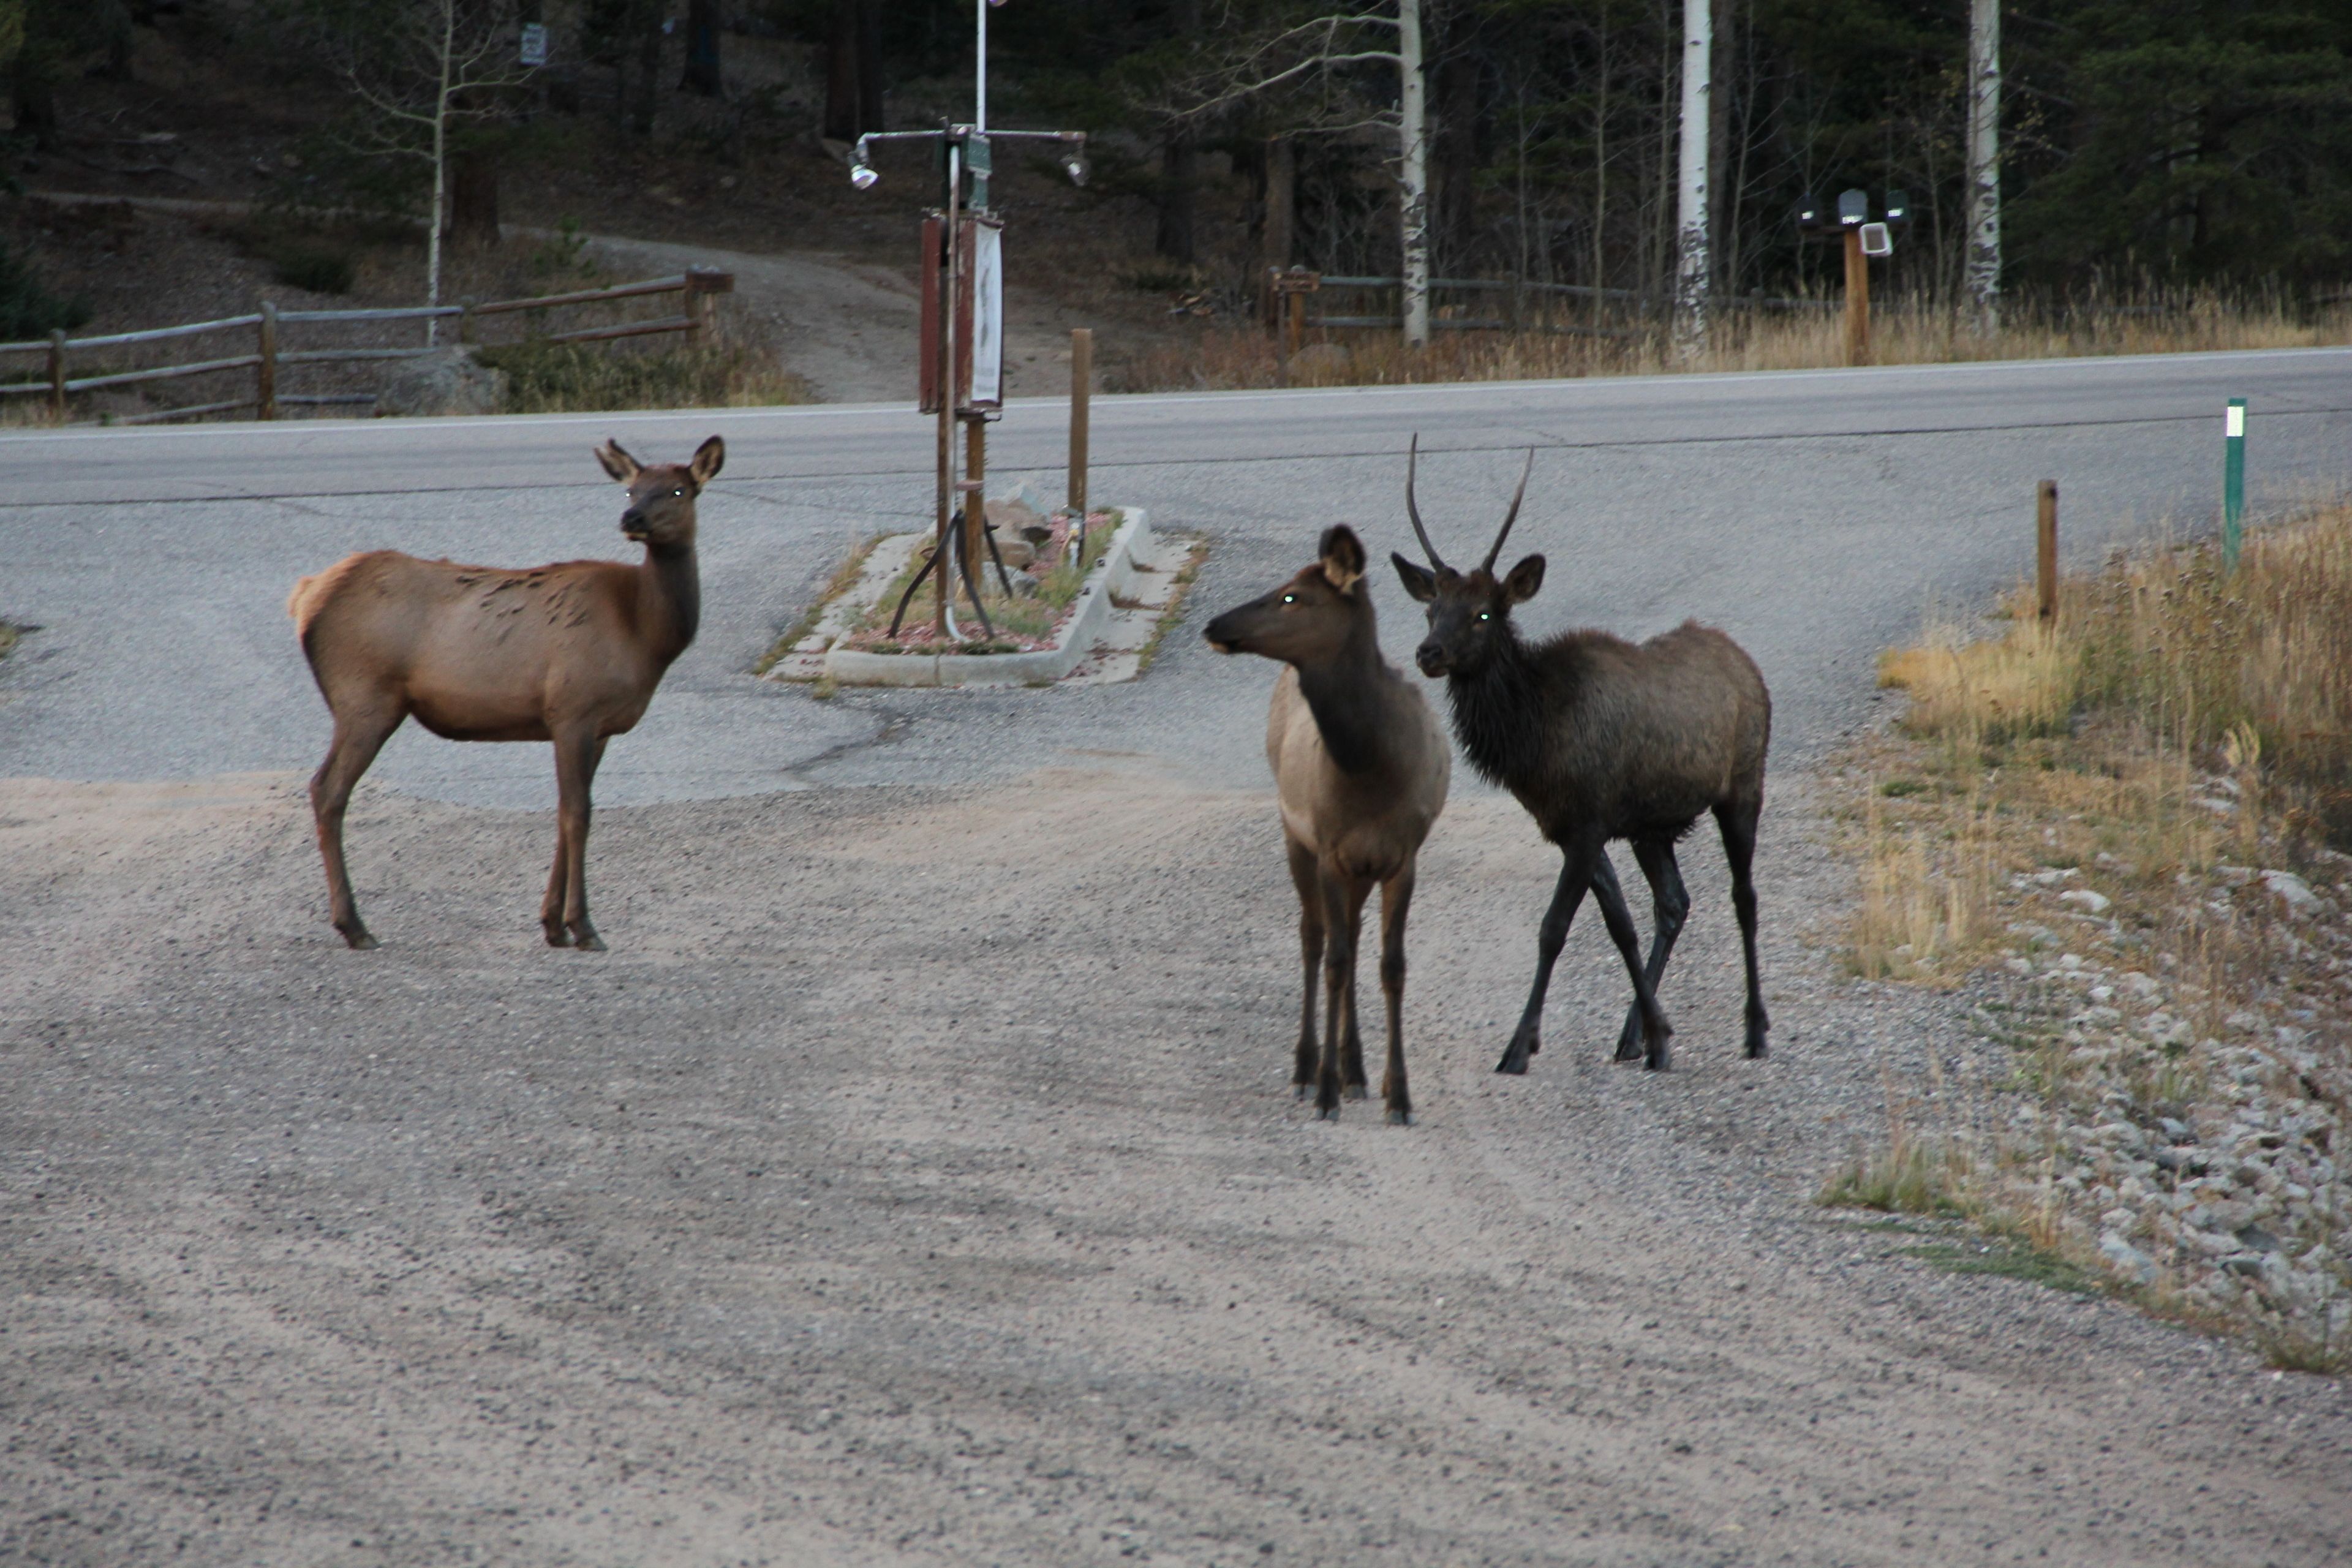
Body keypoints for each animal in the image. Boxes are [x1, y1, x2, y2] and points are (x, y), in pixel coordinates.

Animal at [287, 435, 723, 952]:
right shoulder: (573, 708)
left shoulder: (598, 727)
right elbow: (579, 814)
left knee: (324, 787)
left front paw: (552, 924)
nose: (632, 519)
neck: (645, 635)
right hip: (364, 697)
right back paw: (355, 925)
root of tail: (305, 598)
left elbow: (565, 812)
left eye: (678, 490)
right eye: (631, 490)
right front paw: (583, 926)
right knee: (329, 789)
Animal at [1204, 525, 1451, 1123]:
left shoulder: (1402, 856)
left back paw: (1357, 1070)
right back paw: (1307, 1068)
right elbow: (1335, 960)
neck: (1370, 769)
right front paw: (1325, 1091)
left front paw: (1398, 1095)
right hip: (1297, 838)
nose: (1215, 625)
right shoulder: (1330, 849)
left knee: (1354, 938)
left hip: (1356, 866)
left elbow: (1392, 965)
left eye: (1292, 597)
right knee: (1314, 939)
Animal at [1388, 437, 1771, 1074]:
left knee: (1744, 896)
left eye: (1484, 613)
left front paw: (1519, 1047)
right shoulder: (1571, 827)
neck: (1535, 741)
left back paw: (1757, 1030)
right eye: (1430, 610)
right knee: (1674, 902)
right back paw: (1636, 1035)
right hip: (1652, 827)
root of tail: (1747, 663)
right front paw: (1657, 1035)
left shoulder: (1591, 822)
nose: (1429, 652)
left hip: (1743, 788)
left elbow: (1553, 929)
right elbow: (1620, 926)